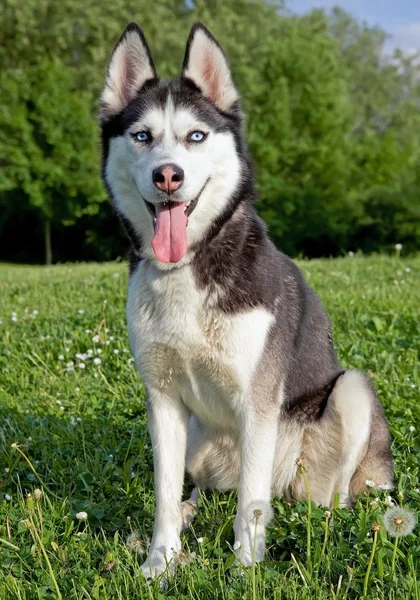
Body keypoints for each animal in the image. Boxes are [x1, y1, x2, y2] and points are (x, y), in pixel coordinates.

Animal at [99, 22, 394, 576]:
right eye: (142, 136)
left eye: (195, 136)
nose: (167, 174)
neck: (189, 268)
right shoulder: (162, 399)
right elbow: (164, 494)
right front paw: (160, 563)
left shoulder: (258, 402)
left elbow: (250, 508)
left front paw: (244, 573)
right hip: (198, 437)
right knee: (207, 490)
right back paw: (188, 513)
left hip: (350, 393)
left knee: (320, 496)